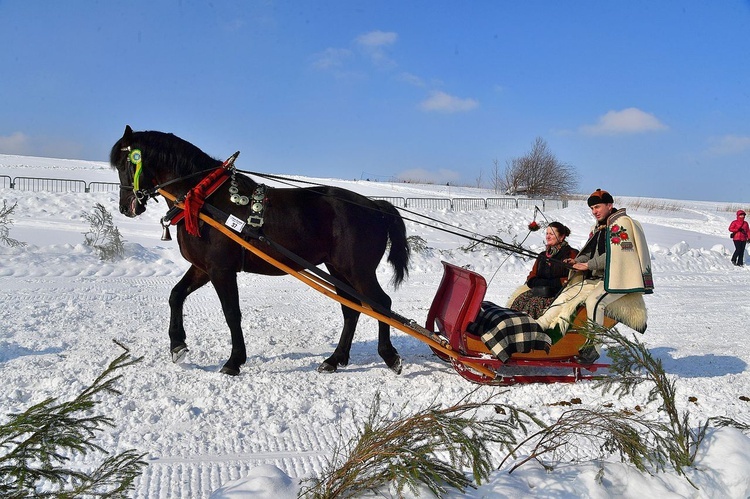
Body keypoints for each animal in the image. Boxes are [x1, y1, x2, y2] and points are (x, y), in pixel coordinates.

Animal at [110, 125, 412, 376]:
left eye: (127, 163)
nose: (126, 207)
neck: (205, 197)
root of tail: (376, 207)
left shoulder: (221, 269)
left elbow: (231, 313)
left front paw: (234, 361)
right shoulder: (202, 268)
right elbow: (176, 296)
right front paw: (177, 345)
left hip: (357, 270)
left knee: (382, 305)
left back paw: (389, 356)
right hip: (338, 270)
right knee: (352, 310)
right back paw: (334, 359)